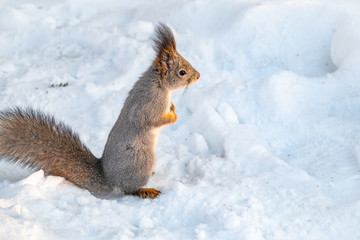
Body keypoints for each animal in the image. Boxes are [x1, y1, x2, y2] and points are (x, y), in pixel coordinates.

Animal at [0, 23, 200, 199]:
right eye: (182, 72)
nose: (198, 76)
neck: (158, 84)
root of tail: (108, 177)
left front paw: (173, 107)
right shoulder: (149, 105)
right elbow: (152, 120)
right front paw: (173, 115)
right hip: (142, 160)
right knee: (129, 190)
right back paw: (145, 190)